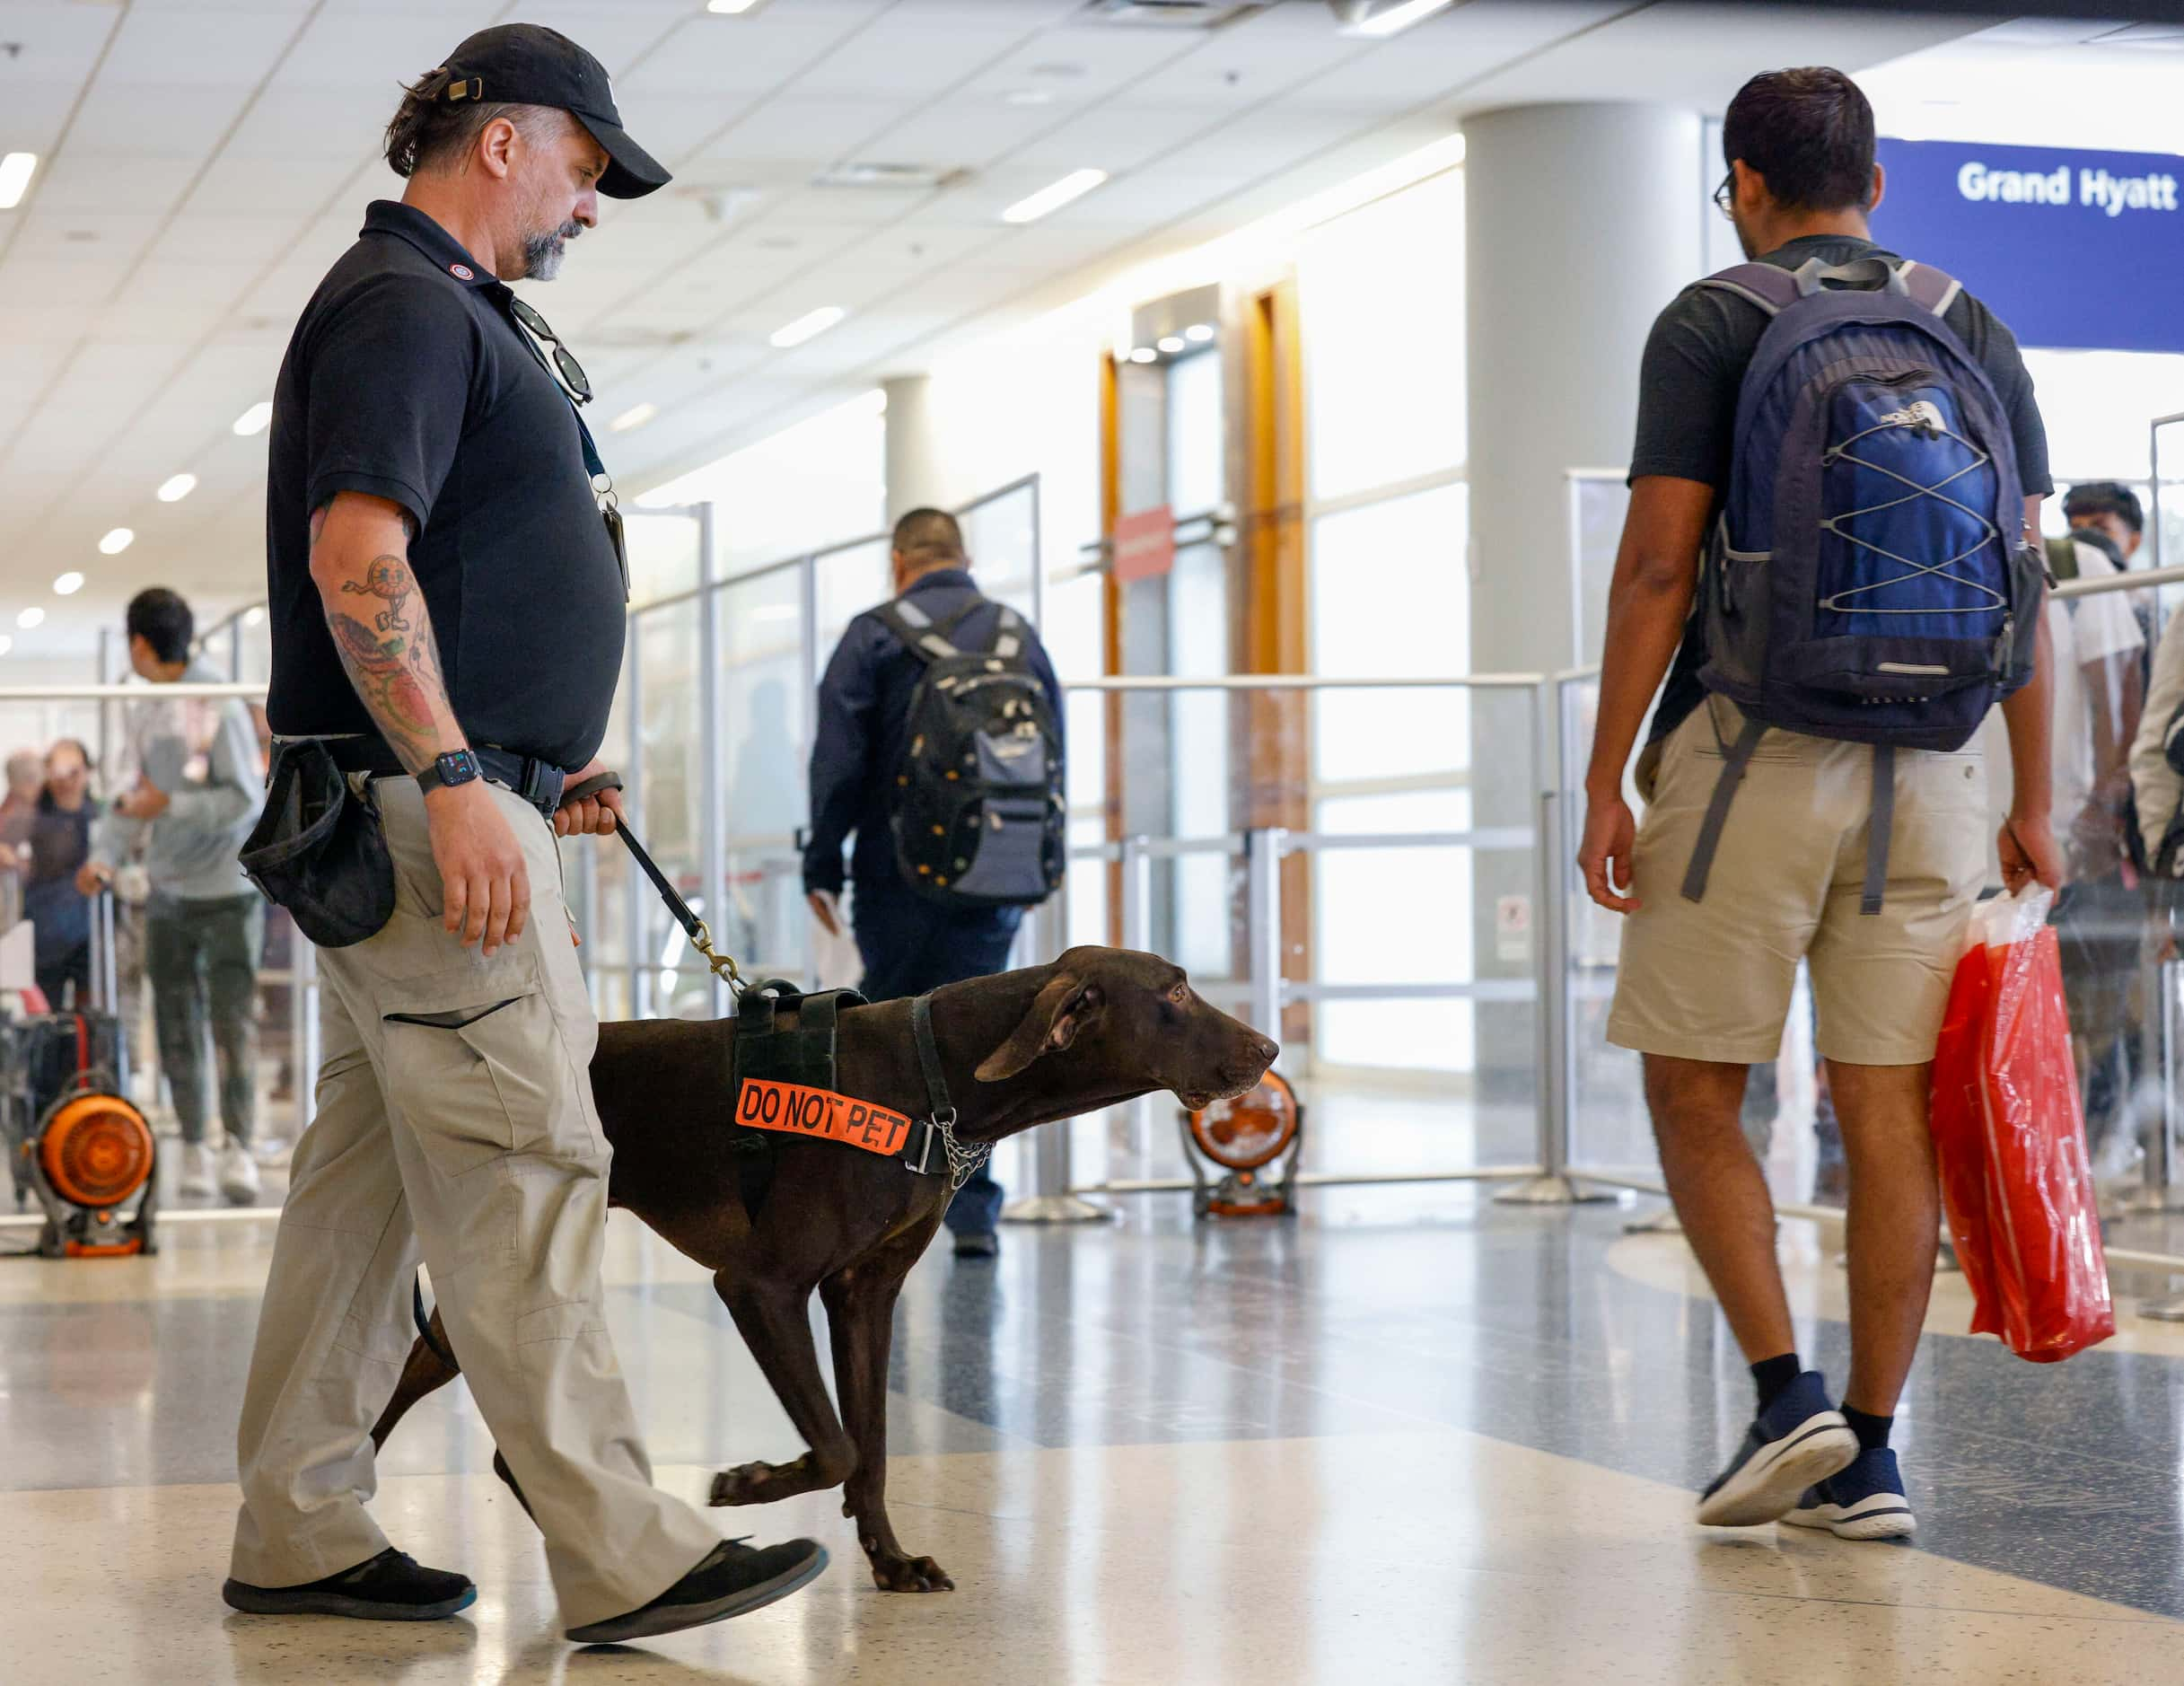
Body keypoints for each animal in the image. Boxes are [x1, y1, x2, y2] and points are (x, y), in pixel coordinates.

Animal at [360, 947, 1275, 1589]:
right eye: (1176, 993)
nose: (1269, 1048)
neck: (931, 1080)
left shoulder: (864, 1297)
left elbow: (869, 1449)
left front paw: (891, 1562)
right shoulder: (762, 1288)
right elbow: (834, 1447)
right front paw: (753, 1482)